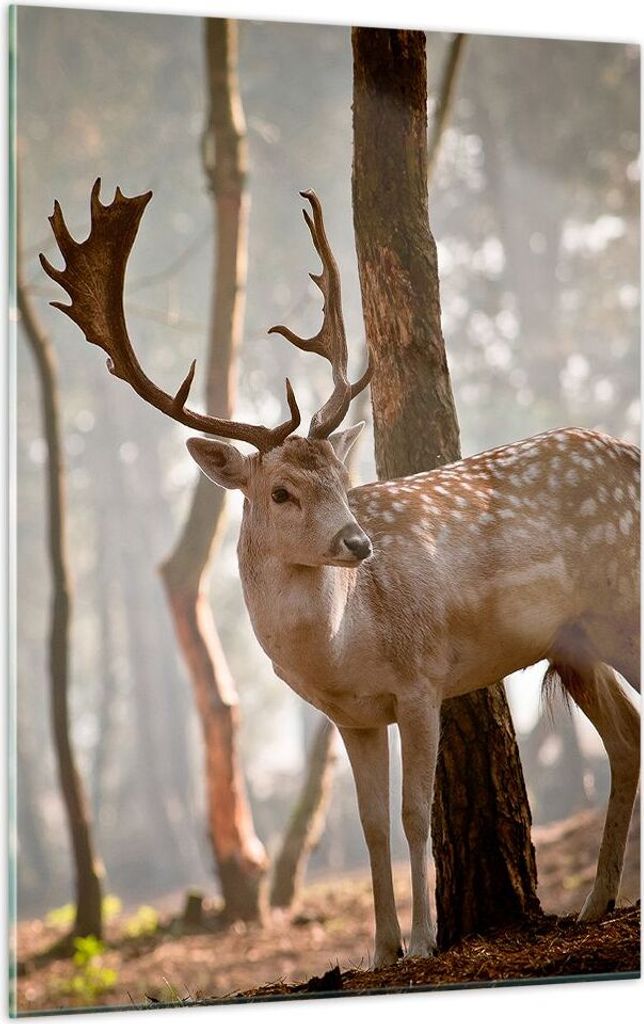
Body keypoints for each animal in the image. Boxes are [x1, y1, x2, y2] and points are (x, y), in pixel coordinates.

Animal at [42, 180, 640, 967]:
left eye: (340, 476)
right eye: (280, 492)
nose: (358, 543)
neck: (342, 647)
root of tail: (632, 454)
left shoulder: (421, 678)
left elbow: (416, 814)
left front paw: (425, 940)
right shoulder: (353, 717)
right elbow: (371, 824)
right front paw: (381, 950)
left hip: (623, 603)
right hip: (575, 640)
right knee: (628, 735)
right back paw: (595, 905)